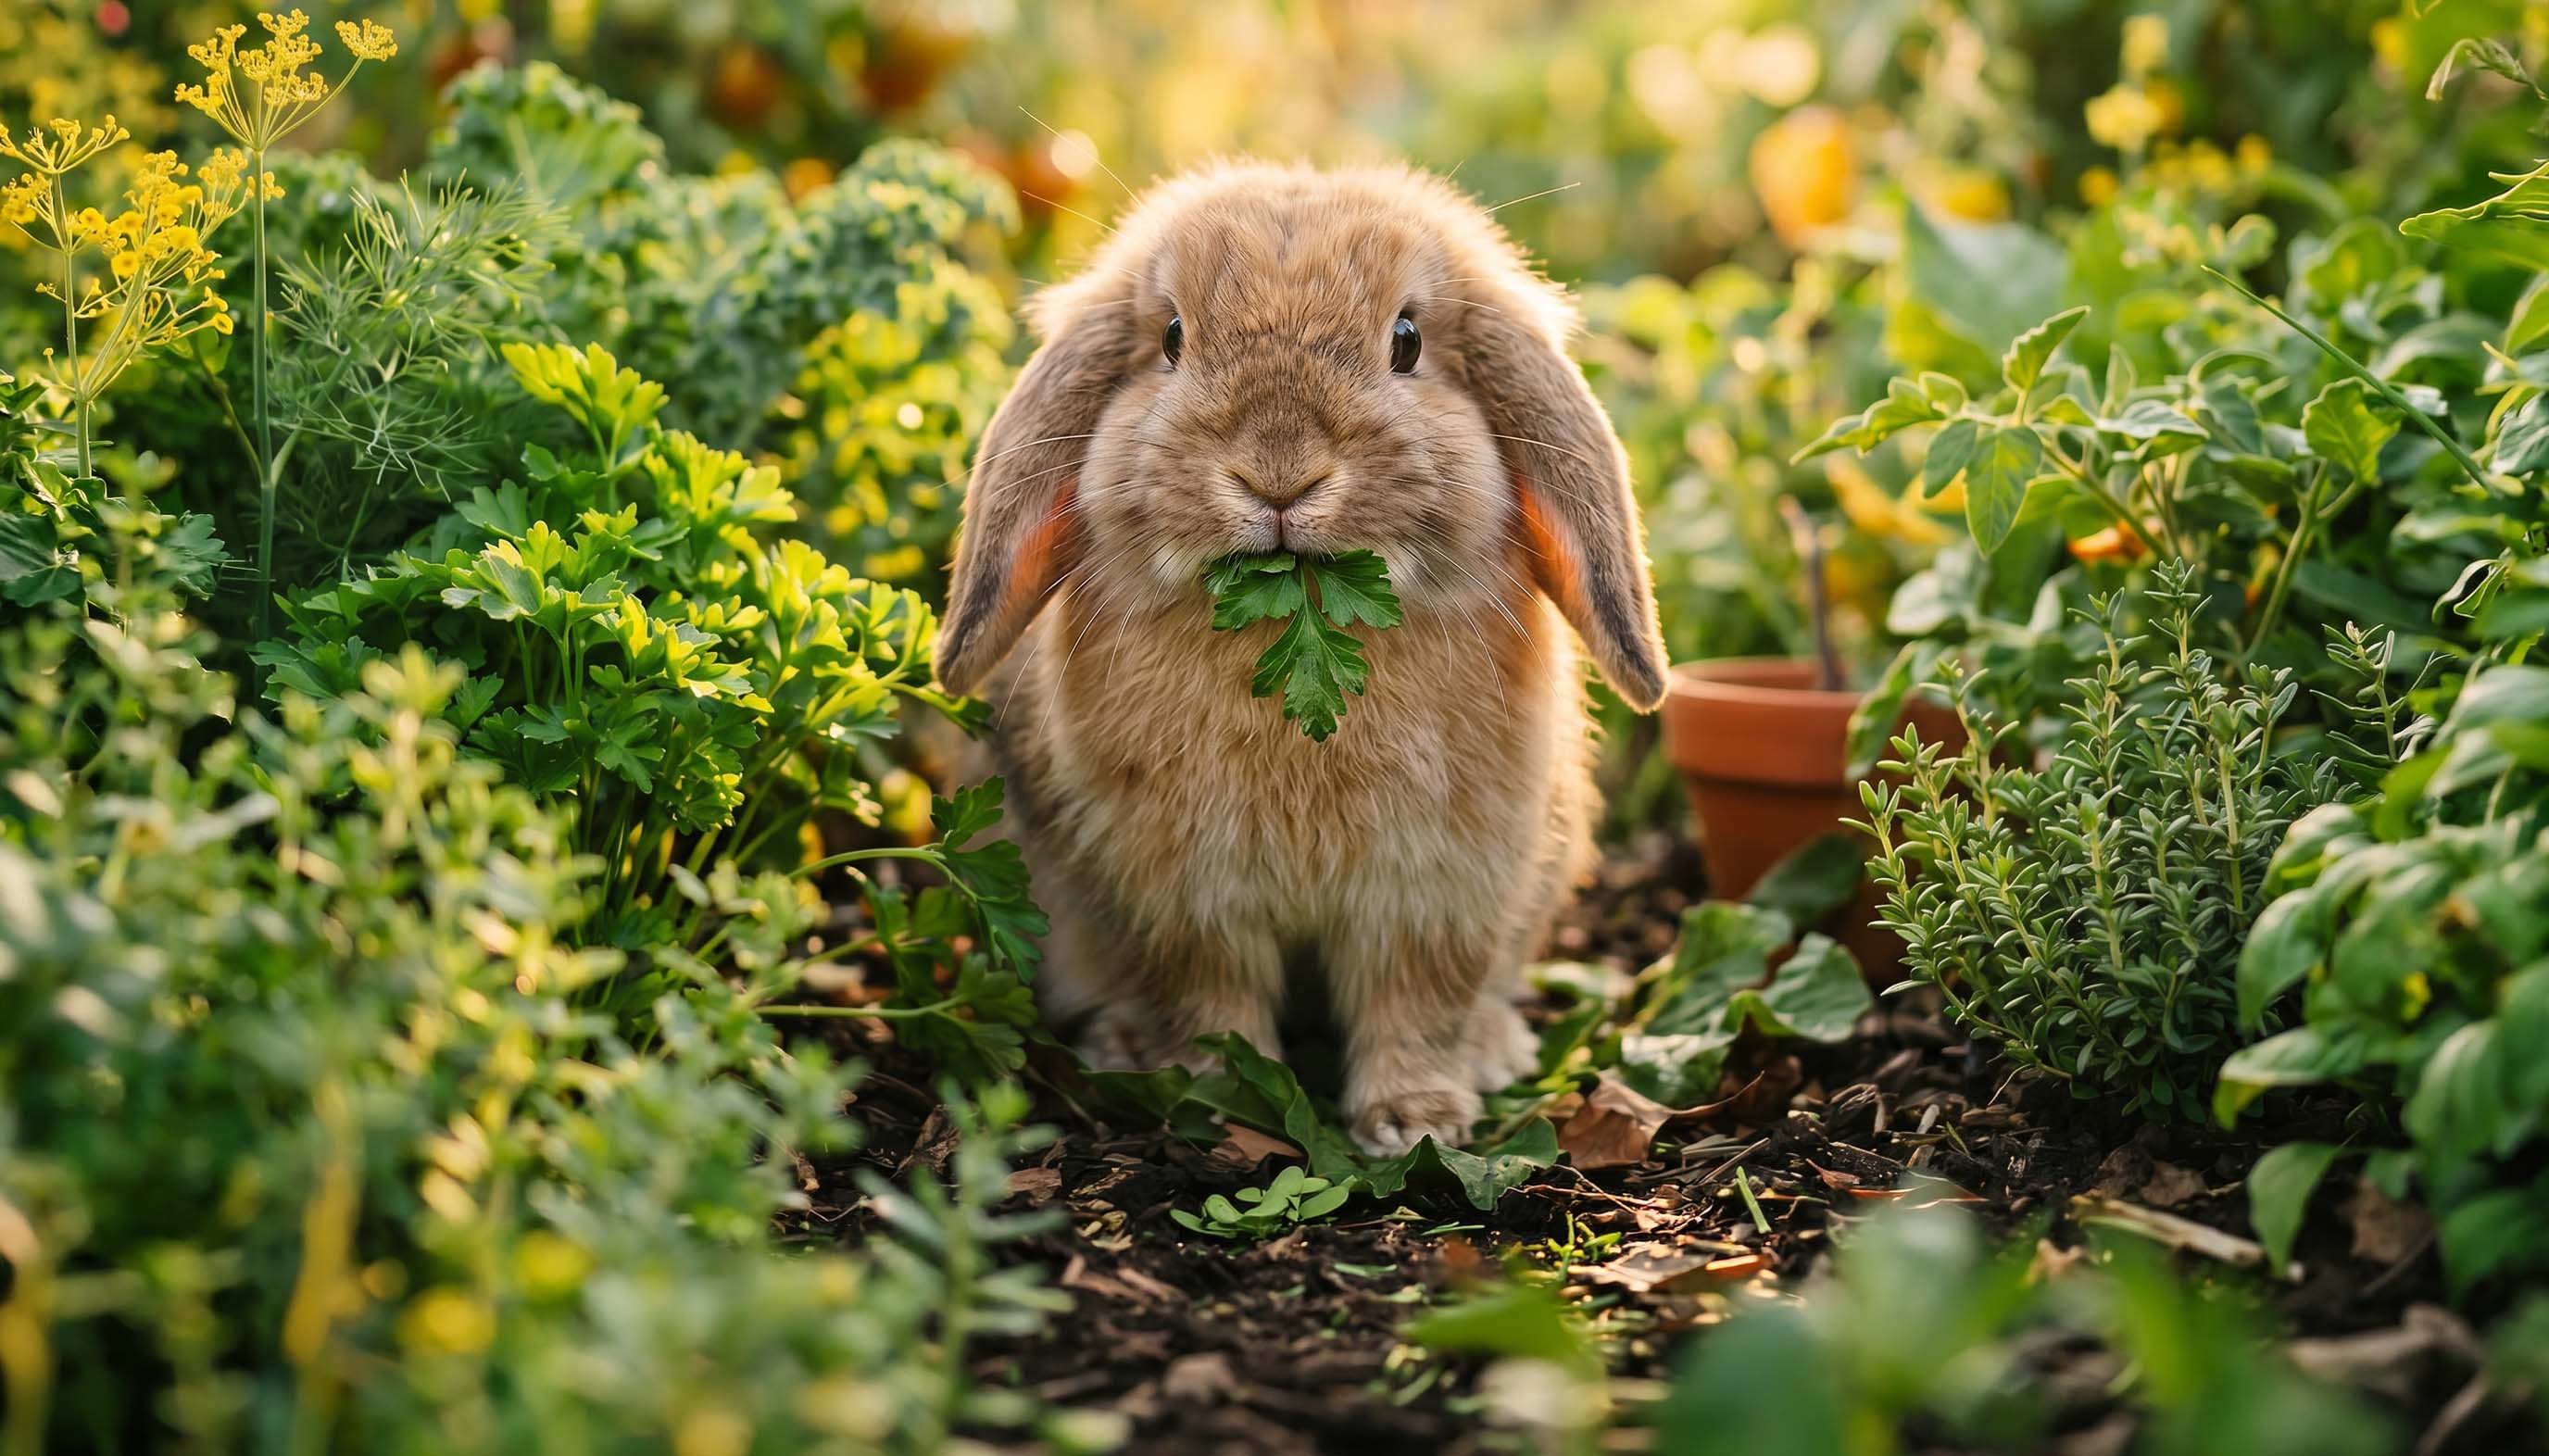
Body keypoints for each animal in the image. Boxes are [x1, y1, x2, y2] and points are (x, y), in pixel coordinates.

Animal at [933, 161, 1668, 1155]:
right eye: (1172, 338)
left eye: (1406, 341)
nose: (1278, 470)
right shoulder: (1182, 899)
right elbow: (1211, 1000)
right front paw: (1217, 1095)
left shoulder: (1435, 896)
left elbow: (1415, 1006)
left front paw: (1416, 1122)